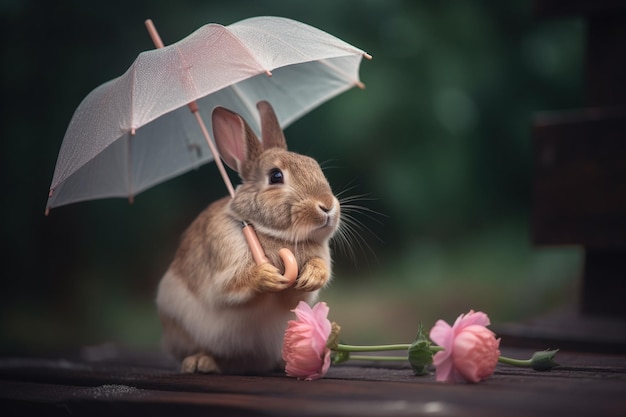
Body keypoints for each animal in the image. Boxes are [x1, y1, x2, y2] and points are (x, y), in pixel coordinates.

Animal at [156, 101, 342, 374]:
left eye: (314, 165)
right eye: (276, 176)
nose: (327, 206)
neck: (270, 232)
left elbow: (300, 290)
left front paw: (312, 276)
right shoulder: (223, 260)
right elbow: (228, 285)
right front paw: (266, 276)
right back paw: (200, 362)